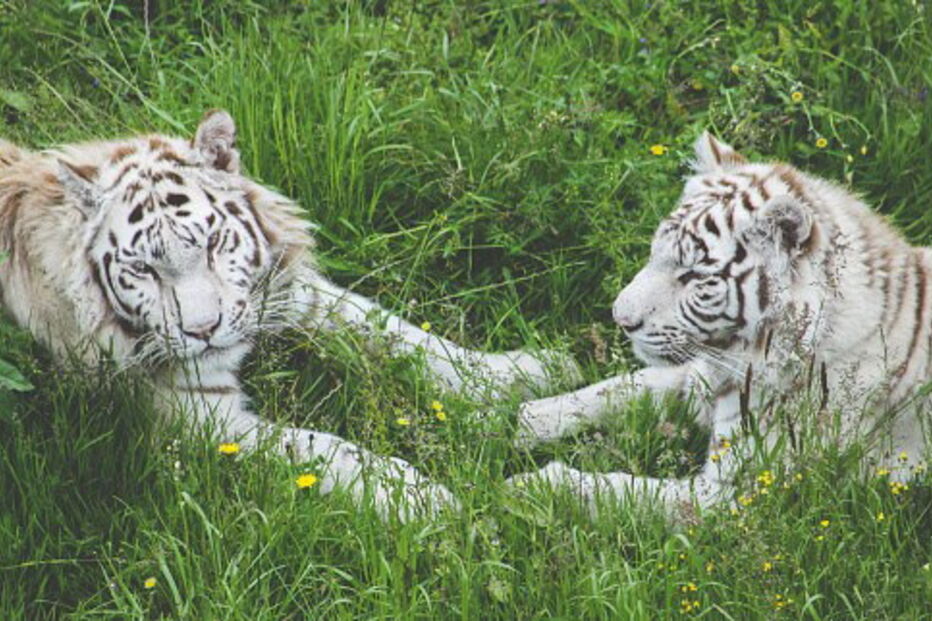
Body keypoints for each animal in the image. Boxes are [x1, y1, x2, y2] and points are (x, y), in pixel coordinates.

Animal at [0, 109, 576, 520]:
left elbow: (395, 332)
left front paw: (526, 371)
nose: (204, 331)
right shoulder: (201, 417)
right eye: (143, 267)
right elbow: (326, 450)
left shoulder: (287, 294)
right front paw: (426, 499)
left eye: (212, 242)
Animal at [509, 132, 930, 515]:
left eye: (694, 276)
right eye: (655, 251)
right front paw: (514, 420)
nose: (621, 319)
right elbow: (616, 389)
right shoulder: (697, 377)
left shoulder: (741, 492)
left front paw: (533, 487)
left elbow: (624, 492)